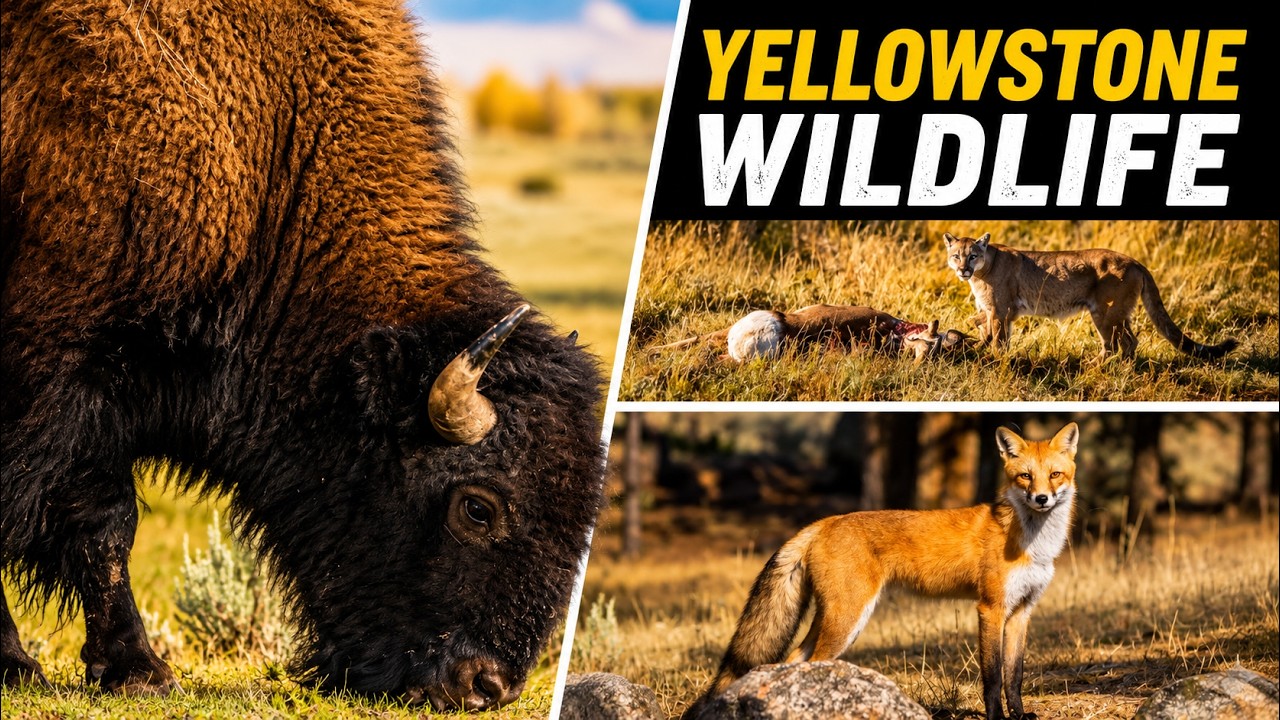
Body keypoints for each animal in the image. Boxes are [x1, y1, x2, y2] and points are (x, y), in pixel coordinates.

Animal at [684, 422, 1080, 720]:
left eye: (1055, 475)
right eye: (1025, 477)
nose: (1041, 499)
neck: (1032, 543)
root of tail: (825, 521)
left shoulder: (1022, 611)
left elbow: (1015, 676)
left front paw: (1020, 715)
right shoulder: (990, 608)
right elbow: (994, 676)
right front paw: (997, 718)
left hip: (838, 619)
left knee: (796, 661)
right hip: (847, 618)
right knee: (813, 662)